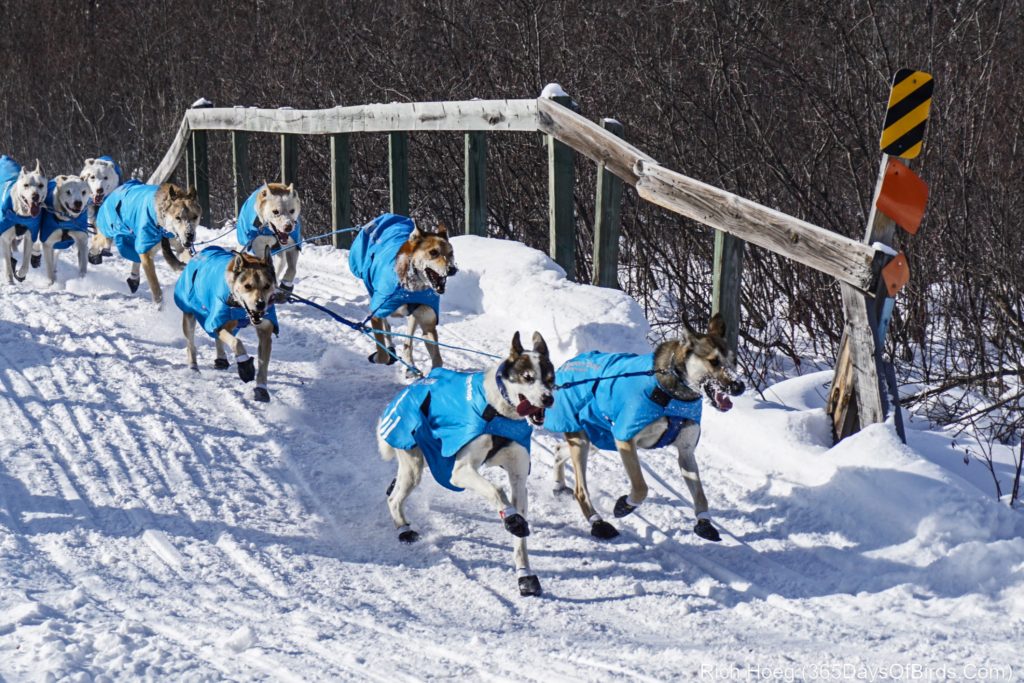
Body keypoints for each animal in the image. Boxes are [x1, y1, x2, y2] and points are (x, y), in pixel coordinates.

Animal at [0, 157, 47, 286]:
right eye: (26, 185)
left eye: (41, 185)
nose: (35, 196)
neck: (22, 214)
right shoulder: (4, 238)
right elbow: (7, 262)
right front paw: (10, 280)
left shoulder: (30, 235)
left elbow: (25, 263)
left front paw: (20, 273)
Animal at [174, 245, 280, 403]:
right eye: (247, 286)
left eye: (267, 286)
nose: (260, 304)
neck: (241, 308)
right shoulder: (217, 323)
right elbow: (237, 342)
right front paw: (244, 364)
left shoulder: (265, 332)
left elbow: (263, 364)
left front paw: (261, 389)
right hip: (190, 315)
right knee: (191, 343)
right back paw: (193, 366)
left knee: (219, 338)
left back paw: (221, 359)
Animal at [350, 211, 458, 376]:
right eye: (433, 252)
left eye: (451, 253)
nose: (452, 269)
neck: (410, 289)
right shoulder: (377, 313)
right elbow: (382, 354)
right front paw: (379, 356)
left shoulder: (428, 324)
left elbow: (437, 359)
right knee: (388, 331)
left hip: (414, 317)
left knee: (408, 342)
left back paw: (410, 366)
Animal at [374, 333, 552, 593]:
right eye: (528, 377)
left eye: (550, 378)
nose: (548, 398)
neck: (498, 410)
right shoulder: (459, 472)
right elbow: (497, 490)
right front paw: (511, 518)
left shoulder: (518, 478)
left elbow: (520, 534)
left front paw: (525, 574)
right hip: (414, 461)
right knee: (395, 498)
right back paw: (403, 528)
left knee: (395, 486)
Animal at [544, 317, 745, 544]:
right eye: (714, 361)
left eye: (734, 361)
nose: (739, 386)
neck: (672, 392)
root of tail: (567, 365)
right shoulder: (625, 440)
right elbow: (641, 487)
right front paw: (625, 505)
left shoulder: (686, 452)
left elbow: (700, 496)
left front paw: (704, 522)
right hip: (584, 441)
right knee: (580, 490)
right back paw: (598, 523)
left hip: (595, 438)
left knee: (559, 449)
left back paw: (559, 485)